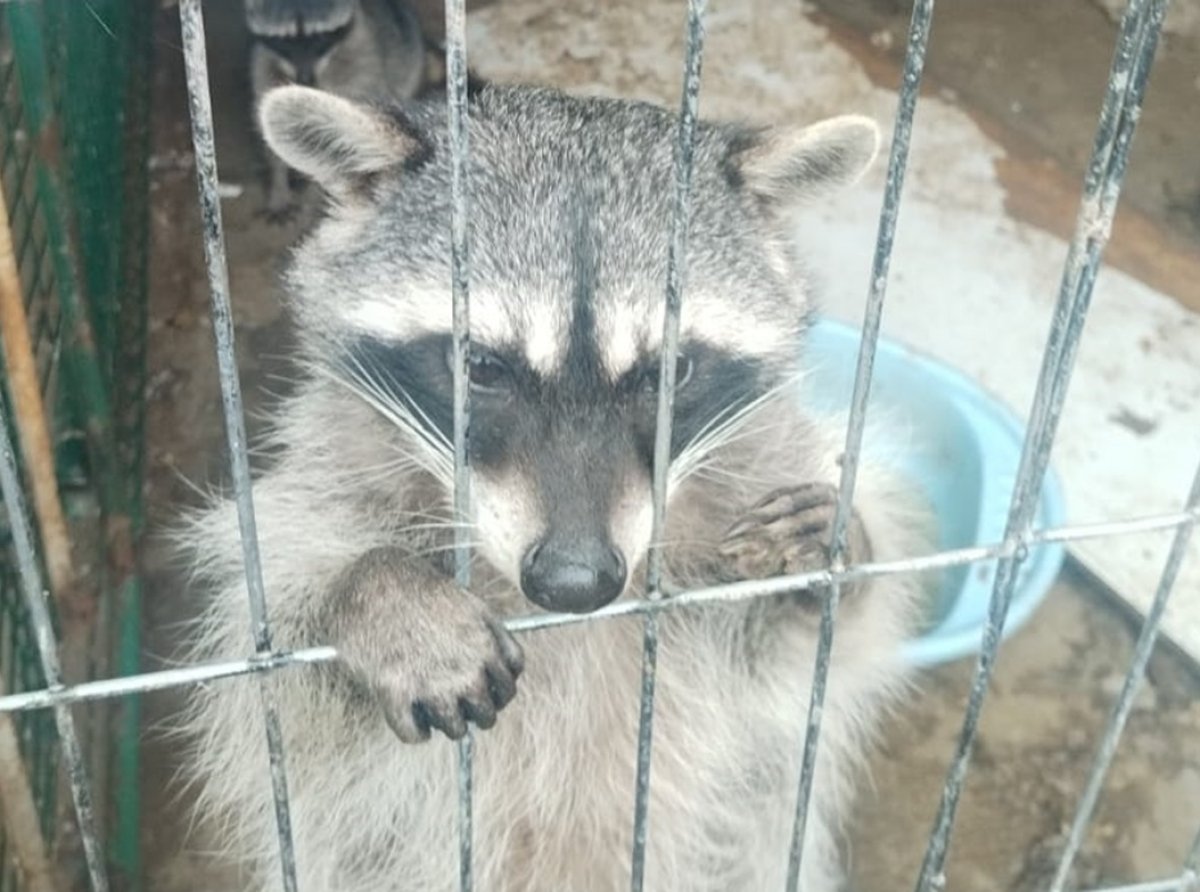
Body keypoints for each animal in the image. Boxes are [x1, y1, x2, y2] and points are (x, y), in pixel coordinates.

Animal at [174, 84, 926, 892]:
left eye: (668, 373)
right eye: (481, 366)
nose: (575, 582)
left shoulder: (755, 479)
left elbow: (815, 657)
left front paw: (838, 551)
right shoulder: (329, 468)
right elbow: (273, 660)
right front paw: (376, 587)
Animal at [244, 0, 427, 222]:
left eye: (319, 37)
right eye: (285, 41)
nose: (304, 77)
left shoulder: (365, 66)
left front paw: (311, 198)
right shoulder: (264, 65)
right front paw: (278, 186)